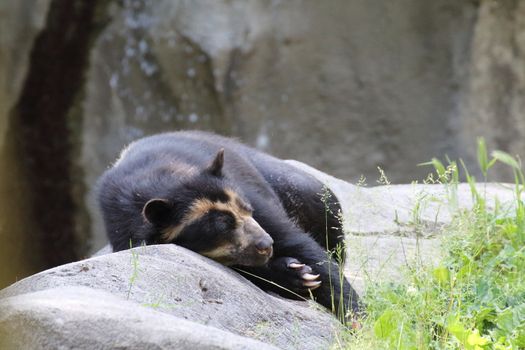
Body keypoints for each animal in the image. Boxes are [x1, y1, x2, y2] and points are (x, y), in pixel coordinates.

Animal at [96, 131, 360, 322]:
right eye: (221, 226)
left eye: (247, 209)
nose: (266, 244)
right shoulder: (123, 230)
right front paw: (297, 274)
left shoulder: (250, 195)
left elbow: (298, 241)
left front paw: (355, 317)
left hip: (289, 183)